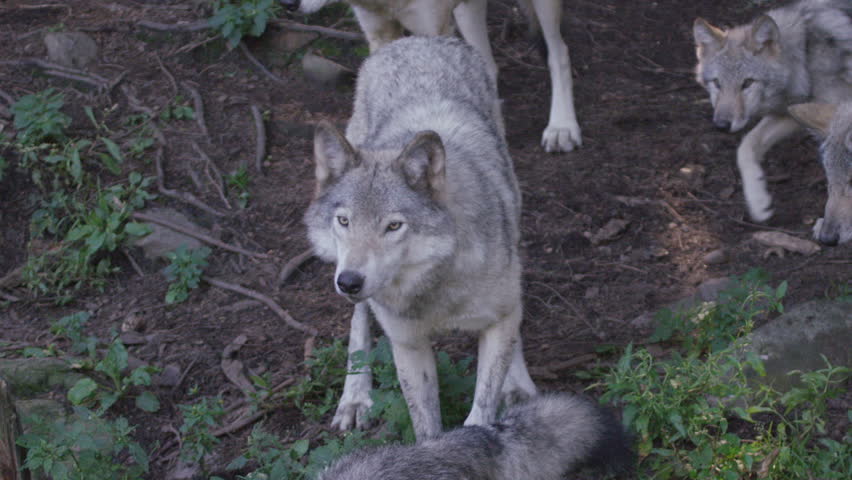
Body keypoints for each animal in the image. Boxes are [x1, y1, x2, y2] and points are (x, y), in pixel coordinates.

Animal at [282, 0, 581, 153]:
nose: (287, 4)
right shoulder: (379, 35)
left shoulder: (433, 28)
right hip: (466, 10)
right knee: (487, 64)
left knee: (560, 51)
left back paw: (562, 128)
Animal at [303, 36, 536, 440]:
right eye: (344, 221)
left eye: (393, 226)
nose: (349, 281)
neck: (434, 287)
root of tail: (415, 40)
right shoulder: (407, 344)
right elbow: (425, 426)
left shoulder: (499, 318)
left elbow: (482, 407)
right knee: (358, 321)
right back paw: (355, 397)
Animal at [693, 0, 852, 222]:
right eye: (717, 83)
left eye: (747, 83)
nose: (722, 125)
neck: (805, 55)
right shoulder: (796, 112)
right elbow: (746, 146)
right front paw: (758, 201)